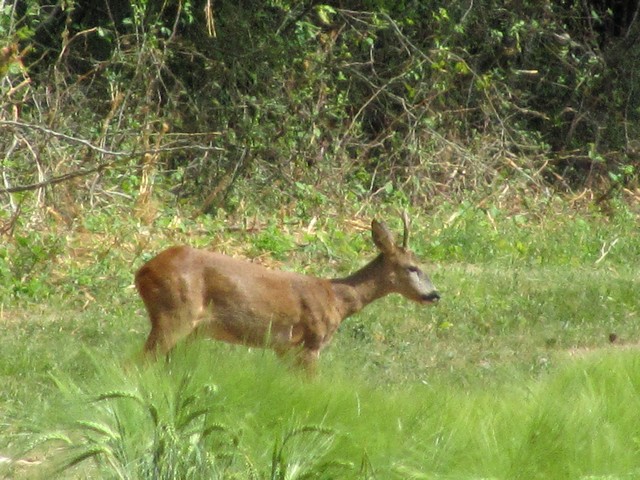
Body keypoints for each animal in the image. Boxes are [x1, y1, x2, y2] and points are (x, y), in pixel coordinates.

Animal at [132, 215, 438, 376]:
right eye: (412, 267)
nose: (435, 295)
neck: (338, 300)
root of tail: (143, 270)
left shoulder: (284, 349)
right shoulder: (312, 341)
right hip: (176, 313)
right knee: (137, 362)